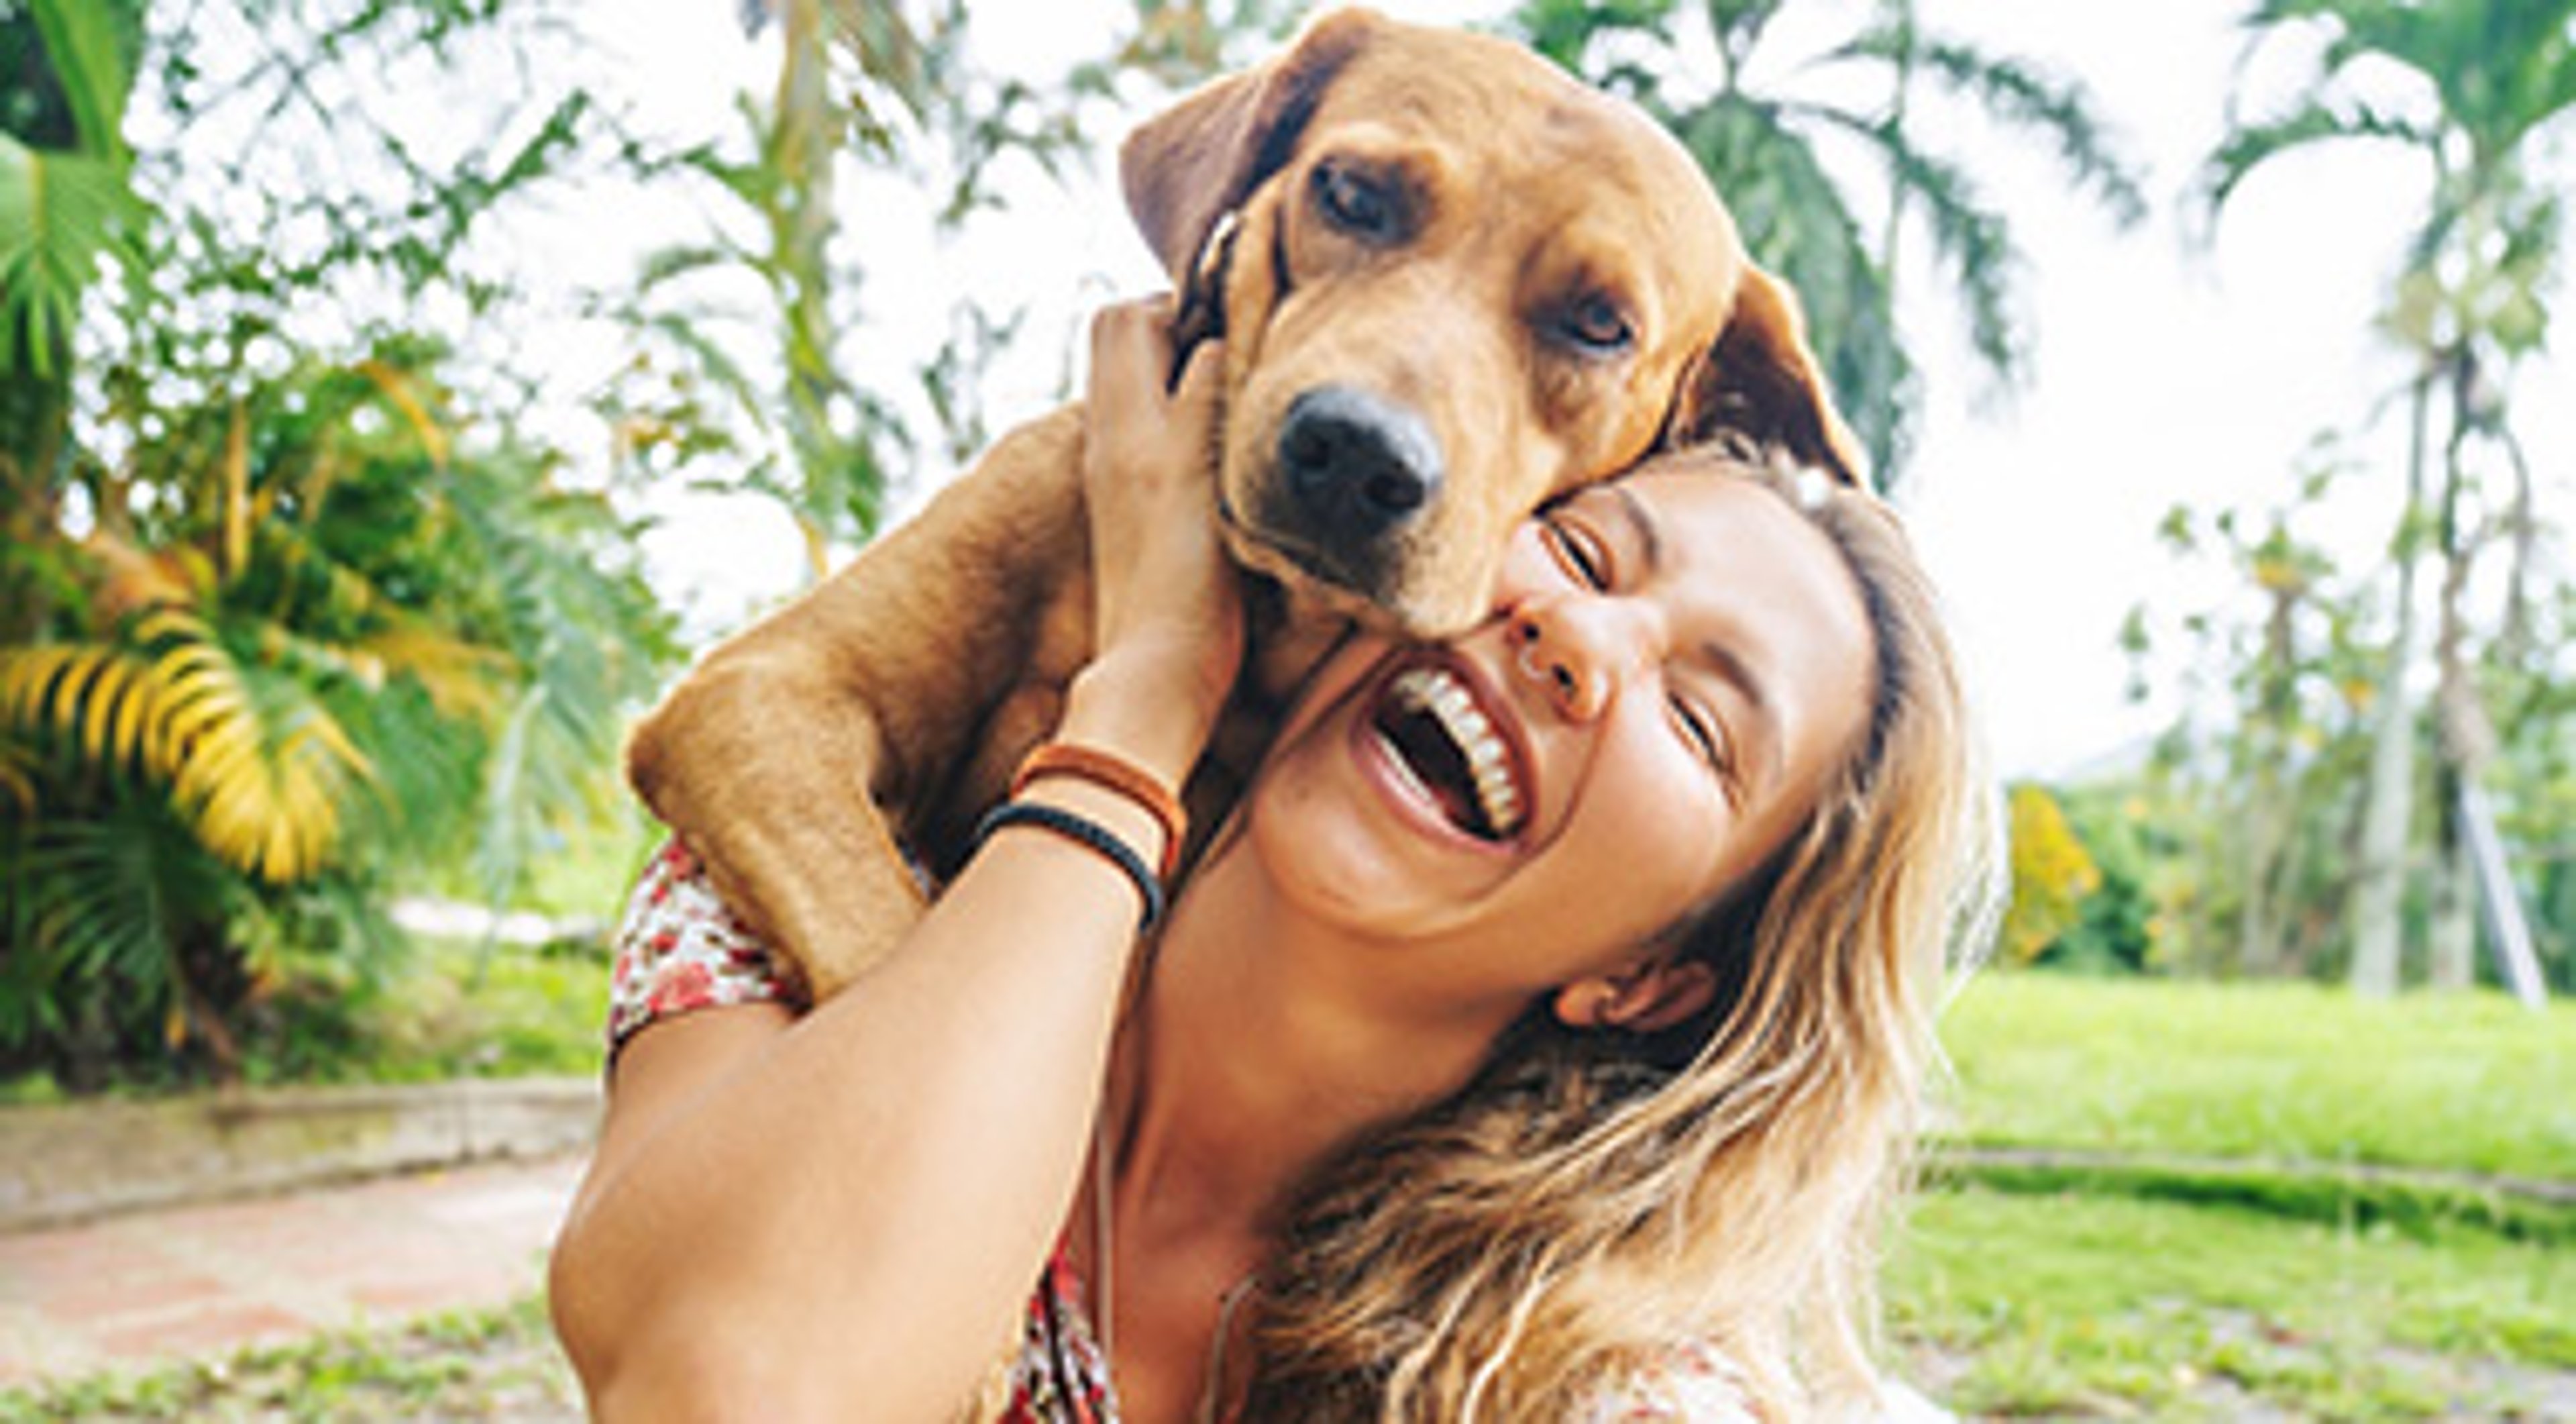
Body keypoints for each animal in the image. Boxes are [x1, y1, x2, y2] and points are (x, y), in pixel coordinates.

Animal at [633, 8, 1865, 999]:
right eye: (1353, 194)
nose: (1357, 456)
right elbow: (898, 965)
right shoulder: (763, 695)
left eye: (1601, 323)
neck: (1274, 618)